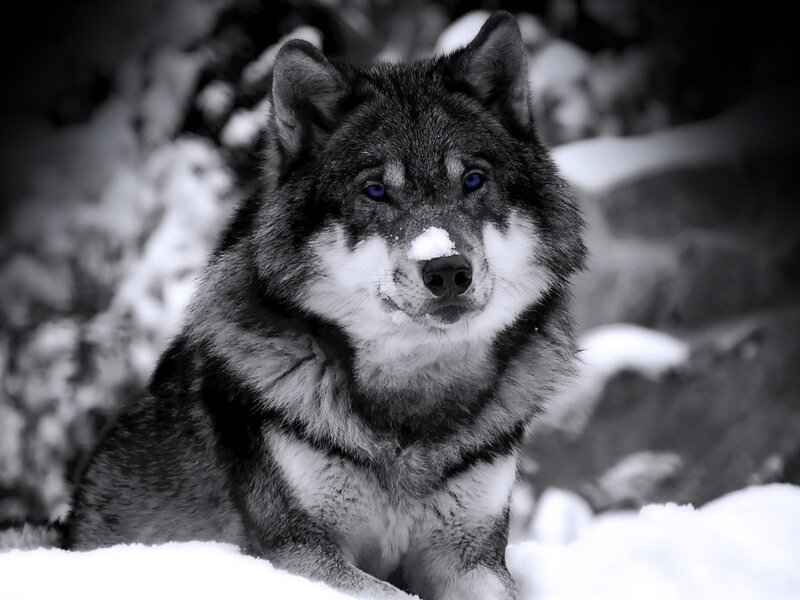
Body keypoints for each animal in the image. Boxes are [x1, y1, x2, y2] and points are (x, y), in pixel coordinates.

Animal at [58, 11, 585, 600]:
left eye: (473, 180)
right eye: (375, 191)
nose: (447, 269)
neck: (410, 410)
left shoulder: (471, 557)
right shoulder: (297, 551)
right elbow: (391, 594)